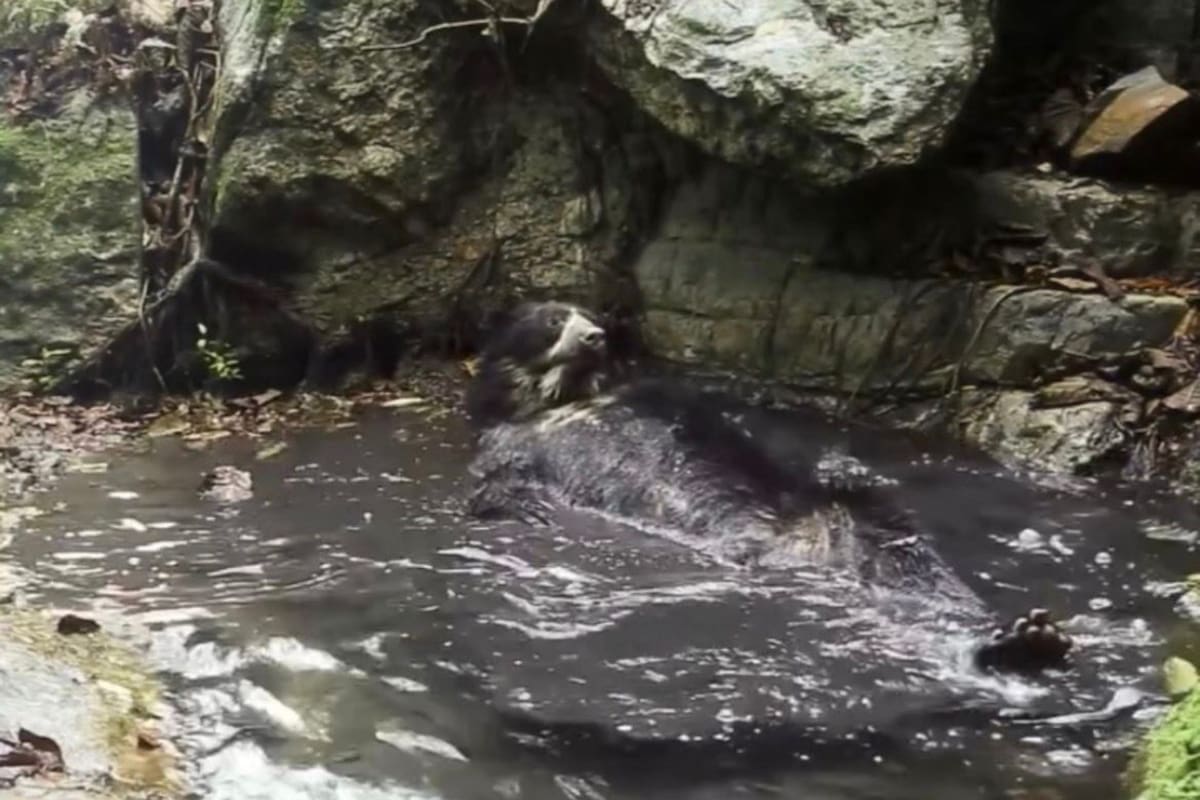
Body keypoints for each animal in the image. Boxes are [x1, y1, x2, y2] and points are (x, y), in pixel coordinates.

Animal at [464, 300, 1073, 675]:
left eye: (592, 319)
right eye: (552, 321)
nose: (595, 335)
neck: (569, 398)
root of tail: (808, 558)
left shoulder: (657, 399)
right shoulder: (513, 441)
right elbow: (500, 481)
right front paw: (522, 508)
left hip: (855, 522)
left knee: (921, 569)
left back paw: (1023, 640)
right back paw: (1020, 644)